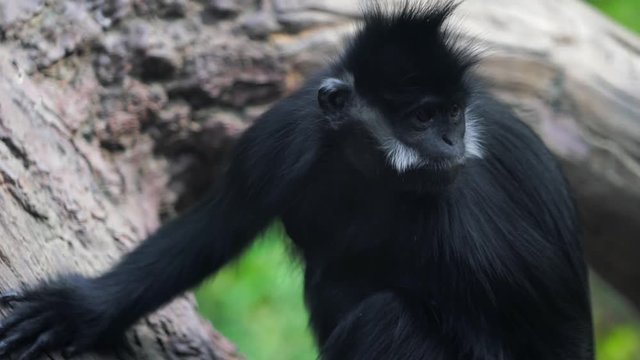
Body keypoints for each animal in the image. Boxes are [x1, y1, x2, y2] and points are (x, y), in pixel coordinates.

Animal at [0, 1, 592, 358]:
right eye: (423, 117)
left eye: (453, 114)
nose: (450, 142)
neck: (371, 172)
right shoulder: (283, 135)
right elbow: (216, 228)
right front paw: (80, 311)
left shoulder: (465, 205)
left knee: (387, 318)